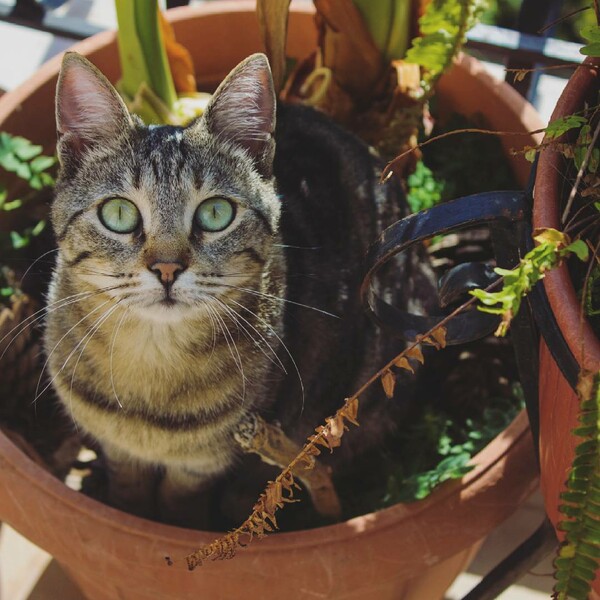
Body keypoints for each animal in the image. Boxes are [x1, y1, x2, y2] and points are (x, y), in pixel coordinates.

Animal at [45, 54, 432, 528]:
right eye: (118, 213)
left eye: (216, 213)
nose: (167, 268)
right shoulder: (118, 449)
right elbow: (128, 490)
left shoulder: (205, 463)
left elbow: (180, 503)